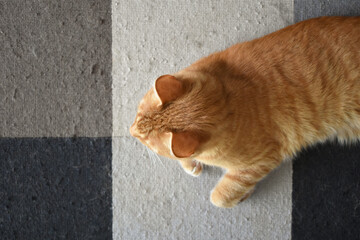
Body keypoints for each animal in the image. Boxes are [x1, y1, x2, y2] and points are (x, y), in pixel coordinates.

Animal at [129, 17, 360, 208]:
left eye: (147, 142)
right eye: (138, 114)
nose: (131, 131)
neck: (227, 98)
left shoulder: (261, 161)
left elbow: (220, 197)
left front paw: (241, 196)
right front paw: (191, 164)